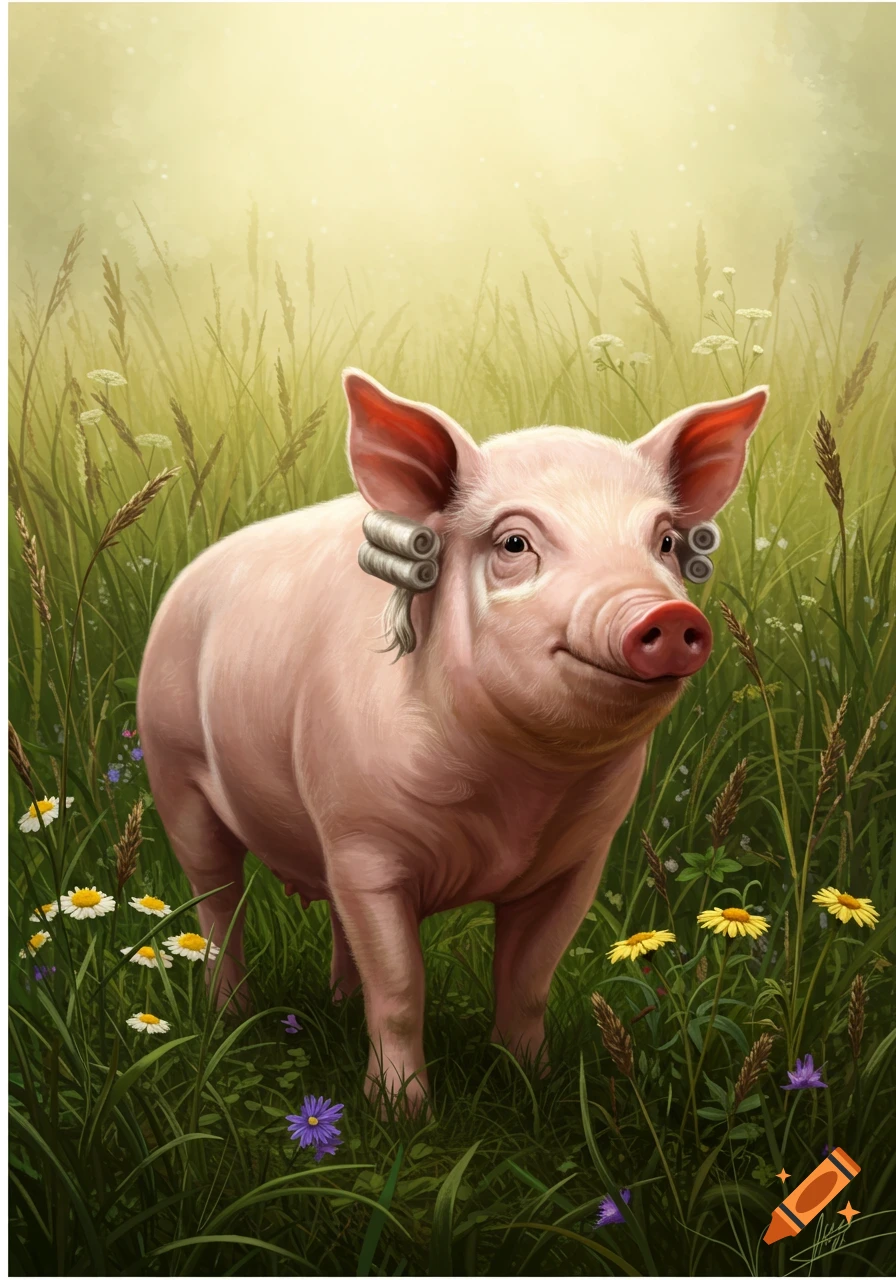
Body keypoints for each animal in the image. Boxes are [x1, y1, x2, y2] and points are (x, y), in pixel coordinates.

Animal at [137, 369, 768, 1111]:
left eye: (665, 542)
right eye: (515, 544)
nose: (665, 615)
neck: (518, 793)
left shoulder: (577, 860)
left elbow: (528, 980)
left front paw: (533, 1085)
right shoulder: (366, 845)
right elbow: (401, 987)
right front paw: (401, 1115)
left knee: (332, 922)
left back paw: (337, 1005)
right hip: (174, 767)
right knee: (216, 903)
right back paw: (231, 1017)